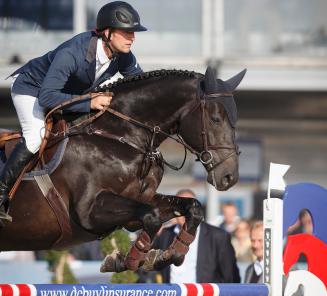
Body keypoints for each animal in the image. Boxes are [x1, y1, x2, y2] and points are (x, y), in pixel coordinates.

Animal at [0, 67, 246, 272]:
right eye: (215, 119)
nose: (229, 177)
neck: (120, 135)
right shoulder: (88, 212)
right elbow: (152, 217)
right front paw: (128, 261)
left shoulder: (140, 202)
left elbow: (191, 208)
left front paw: (169, 255)